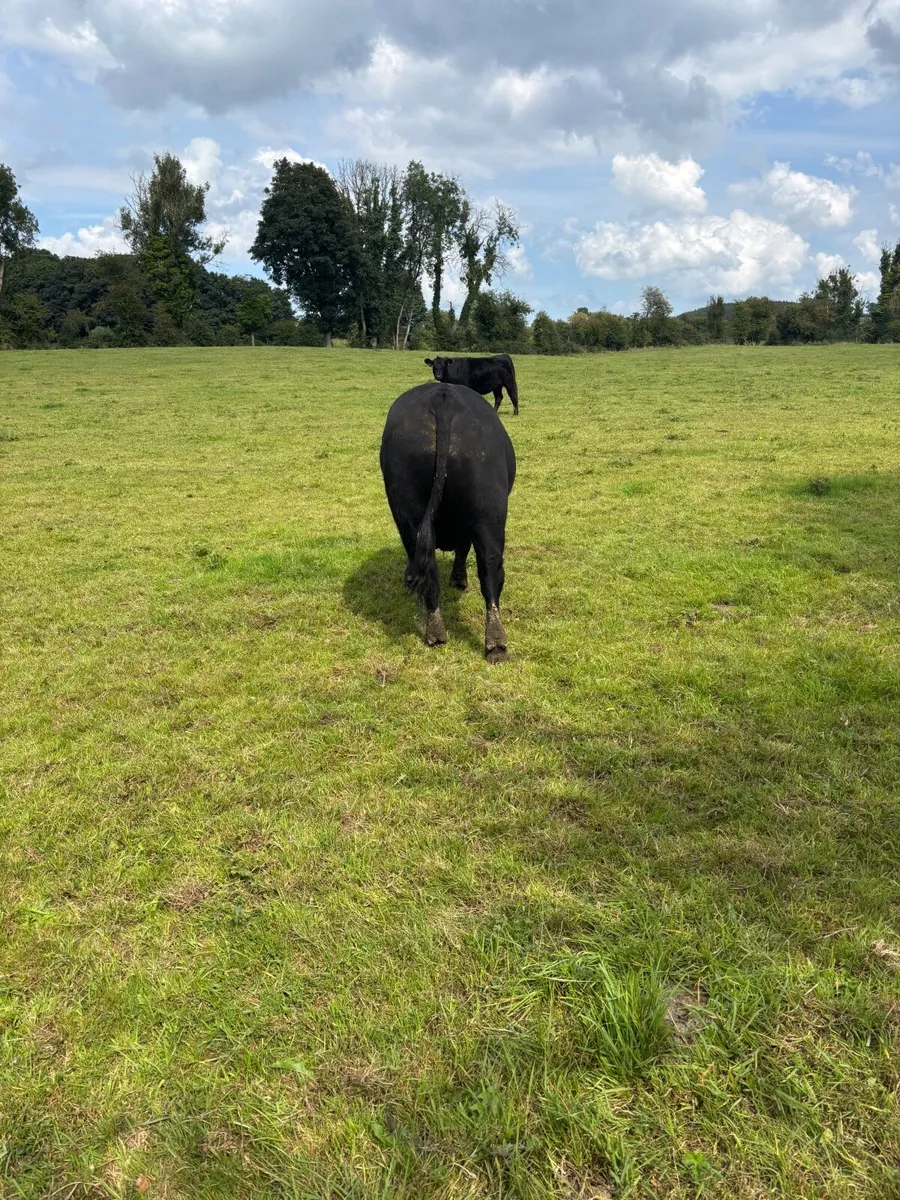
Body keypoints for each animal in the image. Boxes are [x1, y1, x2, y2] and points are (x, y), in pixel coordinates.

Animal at [380, 382, 516, 662]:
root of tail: (442, 397)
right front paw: (459, 579)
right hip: (488, 512)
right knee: (489, 569)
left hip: (411, 509)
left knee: (431, 562)